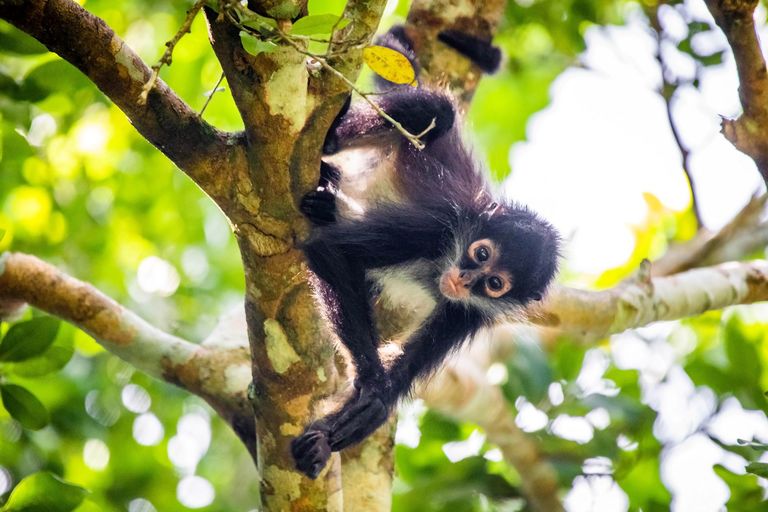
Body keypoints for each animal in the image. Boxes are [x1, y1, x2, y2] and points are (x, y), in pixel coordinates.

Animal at [292, 26, 556, 478]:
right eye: (481, 255)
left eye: (494, 284)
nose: (464, 280)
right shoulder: (435, 228)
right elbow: (333, 252)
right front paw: (371, 384)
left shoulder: (468, 313)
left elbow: (399, 380)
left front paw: (351, 422)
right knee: (438, 110)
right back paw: (331, 144)